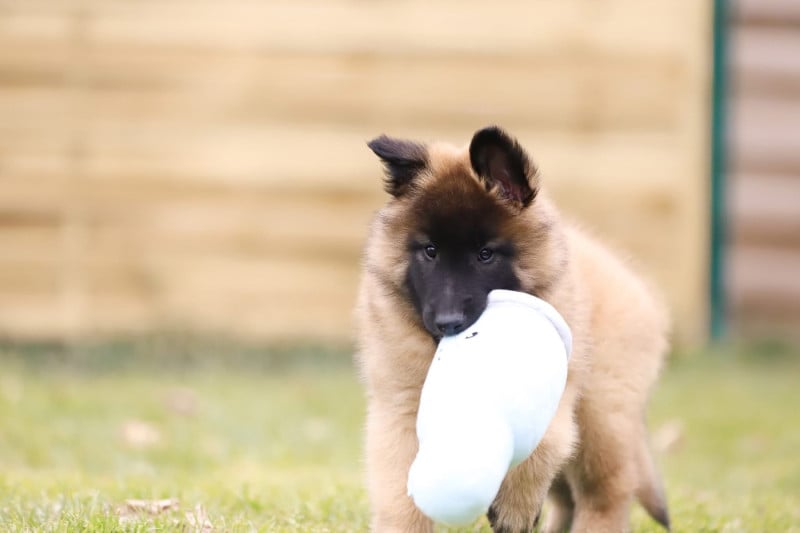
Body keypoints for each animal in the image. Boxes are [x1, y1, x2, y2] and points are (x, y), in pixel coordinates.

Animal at [355, 126, 670, 532]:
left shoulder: (556, 396)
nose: (448, 322)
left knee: (607, 491)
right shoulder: (399, 407)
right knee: (567, 497)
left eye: (485, 254)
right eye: (429, 251)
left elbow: (544, 445)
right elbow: (398, 492)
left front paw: (513, 508)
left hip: (602, 416)